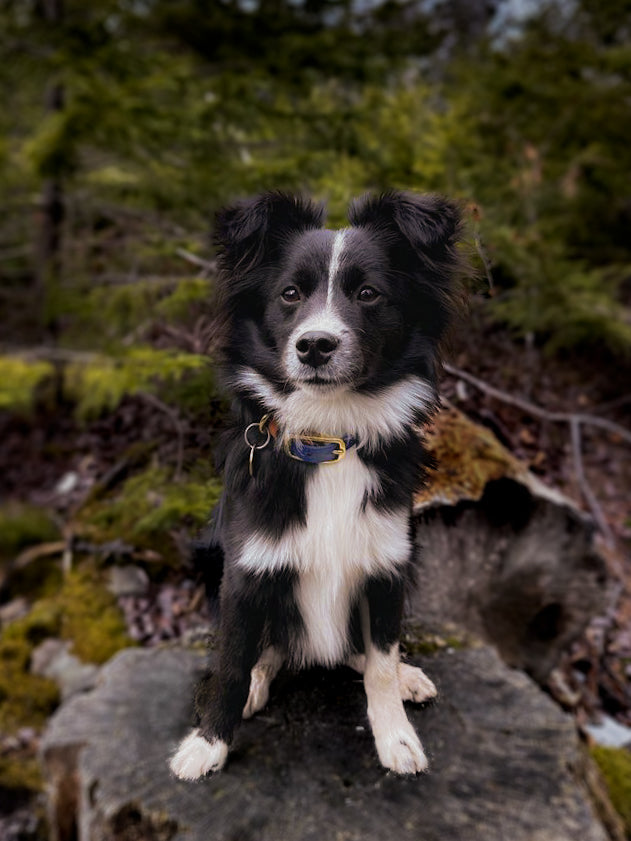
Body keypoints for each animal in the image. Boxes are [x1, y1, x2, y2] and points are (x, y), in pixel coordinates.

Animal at [169, 190, 464, 780]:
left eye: (368, 293)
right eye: (290, 294)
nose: (315, 346)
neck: (327, 437)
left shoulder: (387, 565)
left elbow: (380, 660)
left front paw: (396, 736)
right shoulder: (246, 569)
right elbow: (233, 660)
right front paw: (209, 744)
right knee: (264, 650)